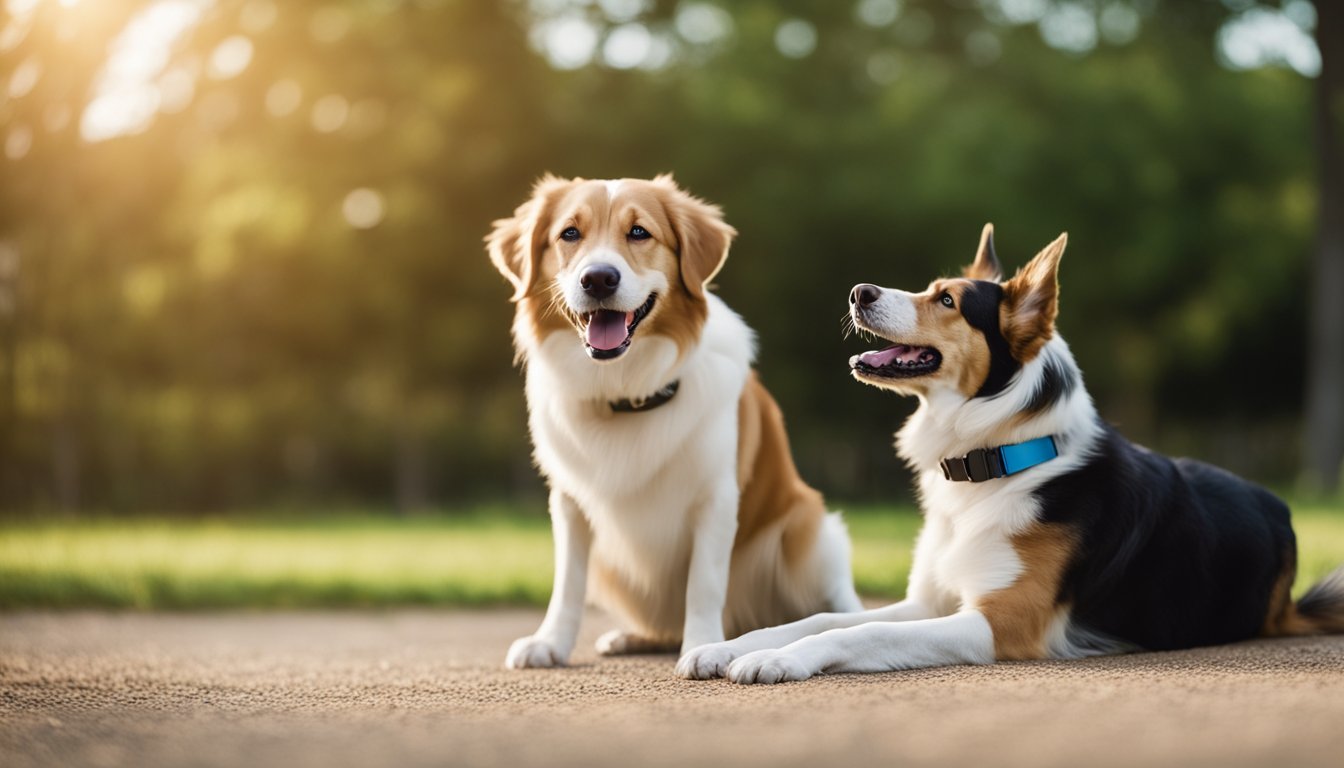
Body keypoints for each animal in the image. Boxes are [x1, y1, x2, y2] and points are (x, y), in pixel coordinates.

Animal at [486, 177, 860, 669]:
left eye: (639, 232)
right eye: (569, 233)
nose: (598, 278)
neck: (626, 393)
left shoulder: (716, 497)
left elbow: (704, 582)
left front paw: (702, 645)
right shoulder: (568, 501)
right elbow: (567, 581)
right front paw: (550, 641)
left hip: (809, 530)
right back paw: (632, 637)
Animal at [682, 225, 1344, 683]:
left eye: (947, 301)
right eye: (930, 290)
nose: (858, 291)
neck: (995, 464)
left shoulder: (999, 623)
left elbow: (856, 636)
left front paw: (778, 660)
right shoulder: (927, 600)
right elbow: (818, 618)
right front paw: (724, 646)